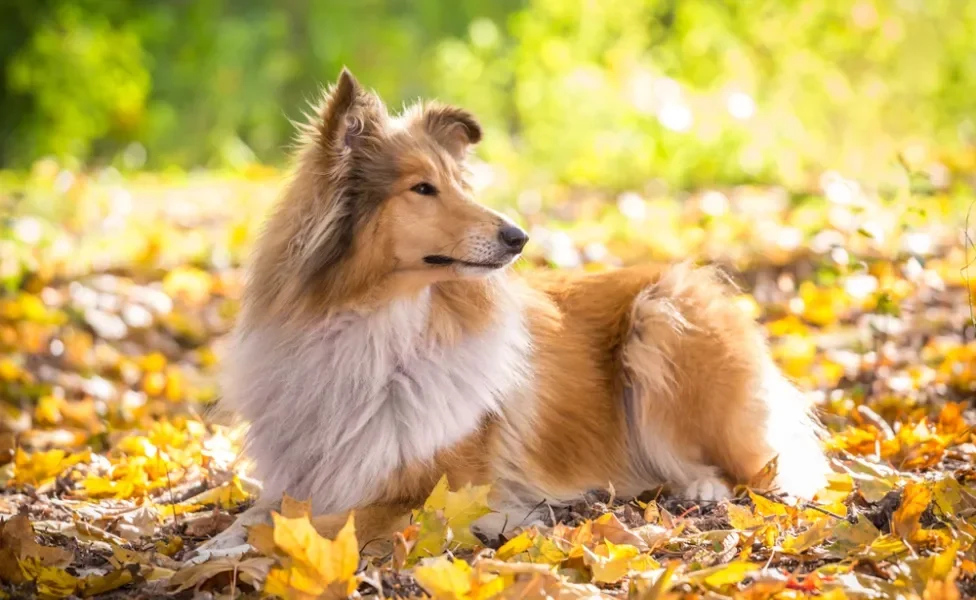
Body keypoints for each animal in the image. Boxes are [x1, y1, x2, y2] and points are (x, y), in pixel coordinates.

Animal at [202, 68, 828, 552]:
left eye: (458, 185)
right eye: (422, 189)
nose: (519, 237)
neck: (375, 324)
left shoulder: (441, 494)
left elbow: (323, 525)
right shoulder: (307, 475)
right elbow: (261, 514)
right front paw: (214, 544)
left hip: (660, 321)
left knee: (754, 468)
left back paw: (698, 490)